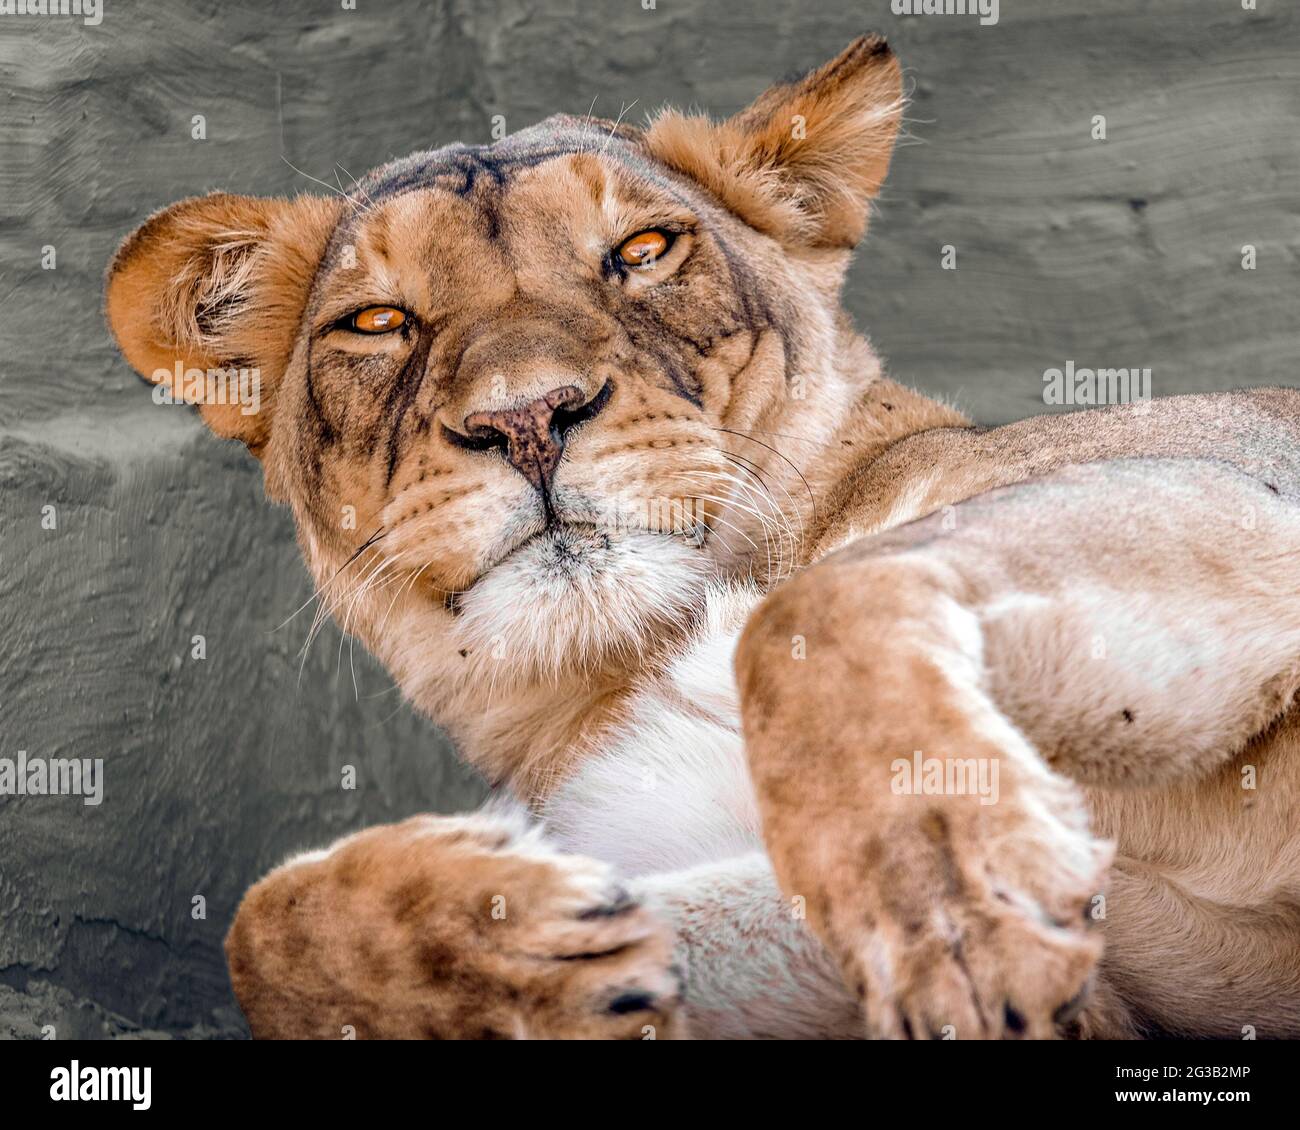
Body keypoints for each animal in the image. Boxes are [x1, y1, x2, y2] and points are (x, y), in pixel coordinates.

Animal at [105, 35, 1300, 1039]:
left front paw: (956, 896)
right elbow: (256, 927)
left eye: (640, 250)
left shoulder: (1233, 484)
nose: (526, 416)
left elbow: (810, 614)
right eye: (379, 322)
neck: (626, 661)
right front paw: (532, 944)